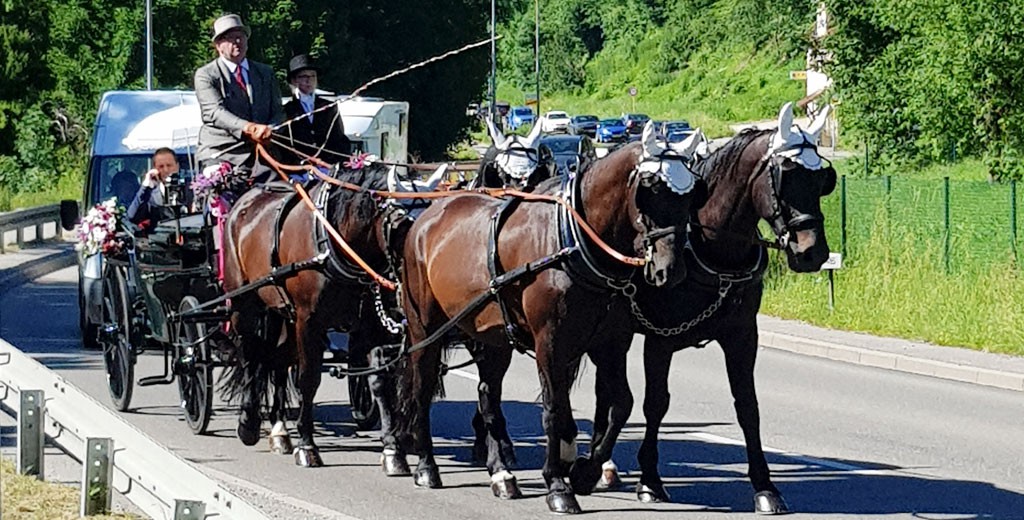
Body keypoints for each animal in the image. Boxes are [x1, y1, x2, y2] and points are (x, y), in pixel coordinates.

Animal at [220, 164, 399, 464]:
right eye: (399, 221)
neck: (333, 245)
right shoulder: (309, 321)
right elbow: (309, 378)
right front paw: (307, 445)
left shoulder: (369, 325)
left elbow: (378, 380)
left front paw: (392, 449)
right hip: (244, 304)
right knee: (249, 354)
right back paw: (248, 422)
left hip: (282, 313)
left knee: (276, 359)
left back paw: (279, 430)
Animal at [387, 122, 700, 515]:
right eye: (650, 187)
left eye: (692, 194)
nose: (670, 270)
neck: (573, 241)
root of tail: (427, 218)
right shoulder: (550, 342)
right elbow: (554, 409)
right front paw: (558, 483)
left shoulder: (609, 344)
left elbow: (620, 405)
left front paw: (585, 470)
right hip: (423, 327)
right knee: (421, 385)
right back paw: (426, 464)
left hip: (492, 335)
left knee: (488, 394)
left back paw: (502, 473)